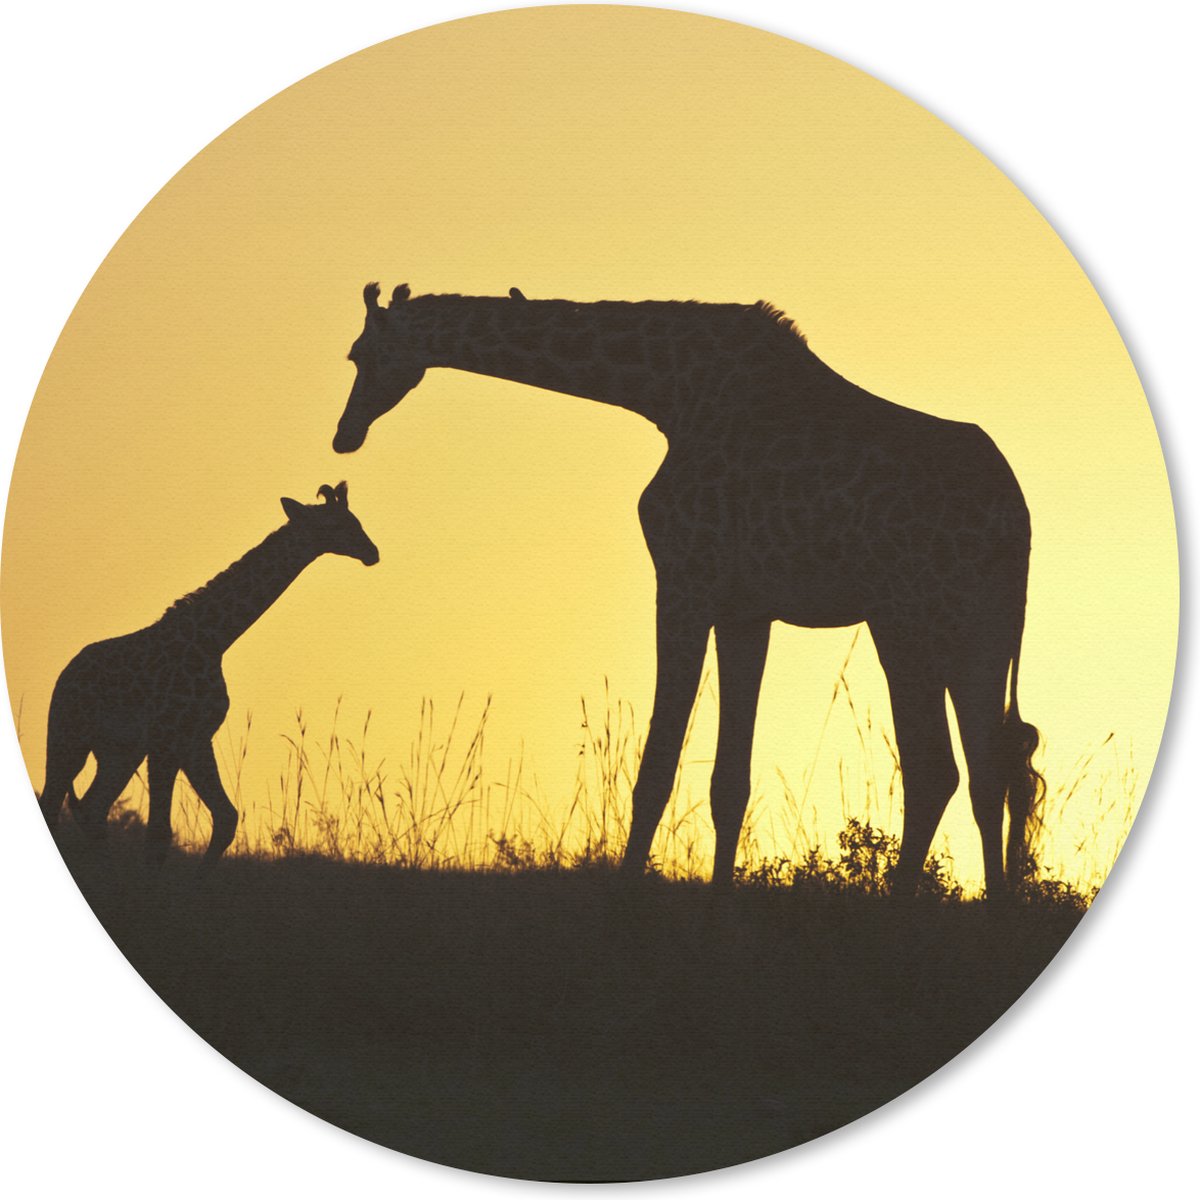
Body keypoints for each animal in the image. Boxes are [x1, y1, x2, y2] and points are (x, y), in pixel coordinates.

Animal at [38, 482, 380, 866]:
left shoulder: (196, 739)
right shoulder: (167, 739)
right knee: (55, 804)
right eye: (339, 524)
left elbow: (225, 817)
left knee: (93, 808)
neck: (213, 640)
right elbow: (159, 833)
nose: (372, 552)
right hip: (69, 737)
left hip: (118, 752)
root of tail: (65, 674)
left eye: (355, 520)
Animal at [333, 283, 1043, 898]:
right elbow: (730, 780)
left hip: (910, 621)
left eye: (360, 354)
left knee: (941, 765)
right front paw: (719, 900)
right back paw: (992, 906)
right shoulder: (745, 610)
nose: (345, 434)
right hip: (977, 629)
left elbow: (658, 764)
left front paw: (624, 895)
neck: (668, 392)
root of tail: (1017, 519)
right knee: (985, 766)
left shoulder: (683, 583)